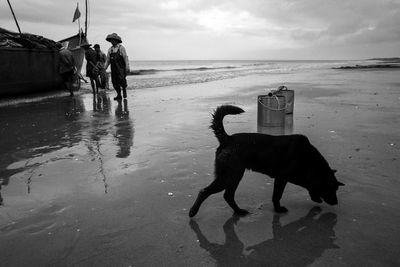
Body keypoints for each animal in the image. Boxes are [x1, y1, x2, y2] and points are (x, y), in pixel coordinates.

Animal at [190, 105, 344, 218]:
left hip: (234, 177)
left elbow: (309, 188)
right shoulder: (281, 179)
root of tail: (227, 139)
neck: (308, 159)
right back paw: (193, 212)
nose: (336, 203)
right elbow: (277, 195)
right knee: (205, 191)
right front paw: (278, 209)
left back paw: (239, 211)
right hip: (229, 176)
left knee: (228, 196)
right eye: (332, 188)